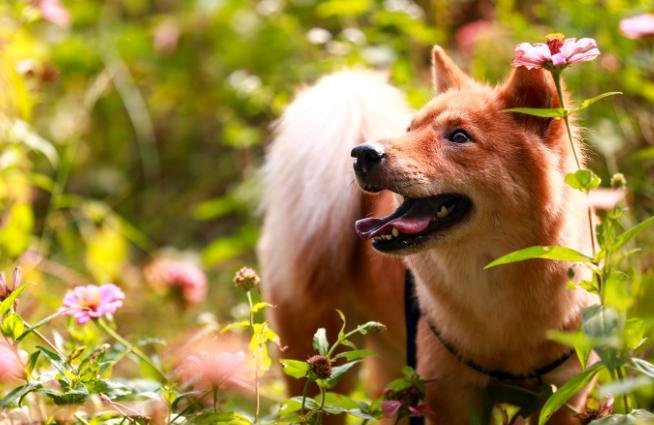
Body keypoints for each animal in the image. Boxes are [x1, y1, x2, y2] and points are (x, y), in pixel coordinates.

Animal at [258, 44, 596, 422]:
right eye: (410, 128)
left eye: (459, 136)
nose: (363, 153)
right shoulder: (450, 392)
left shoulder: (566, 393)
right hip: (319, 368)